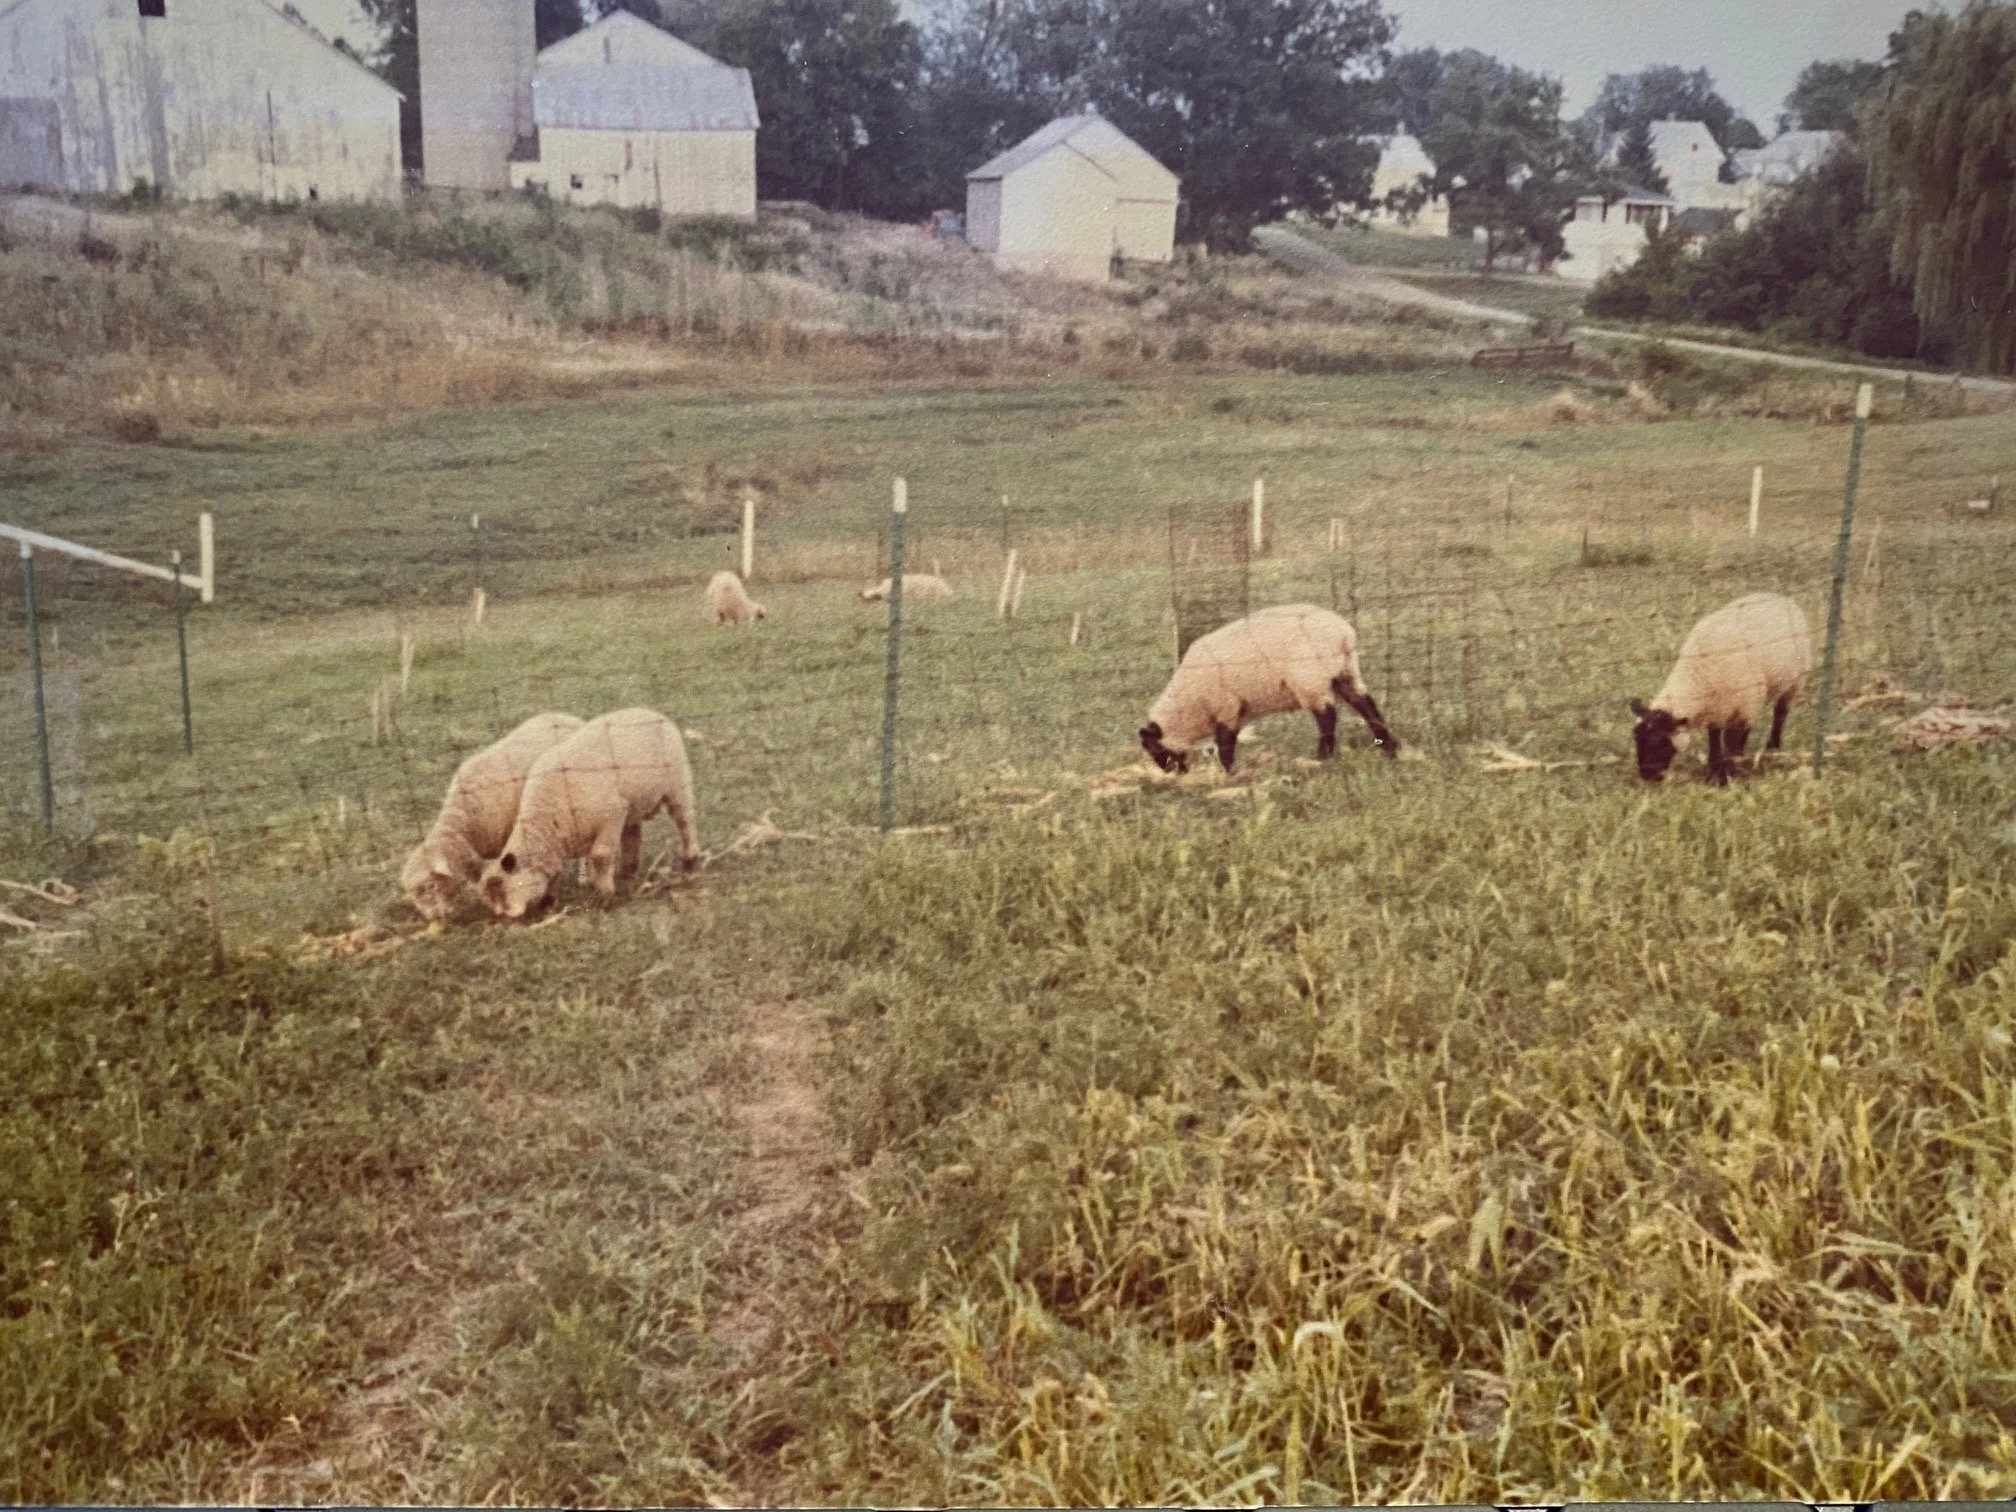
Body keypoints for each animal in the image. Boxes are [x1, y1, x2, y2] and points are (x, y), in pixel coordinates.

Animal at [479, 707, 700, 920]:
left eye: (500, 887)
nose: (503, 919)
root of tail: (650, 711)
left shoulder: (612, 816)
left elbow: (600, 856)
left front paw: (604, 897)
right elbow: (557, 872)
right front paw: (549, 901)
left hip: (677, 785)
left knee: (685, 821)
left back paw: (691, 860)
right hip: (633, 806)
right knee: (632, 835)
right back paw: (628, 873)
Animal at [1138, 603, 1397, 775]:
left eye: (1153, 747)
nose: (1168, 771)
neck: (1187, 704)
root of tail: (1343, 634)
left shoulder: (1226, 707)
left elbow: (1225, 744)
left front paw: (1229, 772)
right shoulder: (1238, 712)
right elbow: (1229, 741)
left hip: (1309, 679)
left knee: (1327, 717)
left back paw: (1322, 757)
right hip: (1345, 672)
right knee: (1366, 704)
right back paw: (1390, 748)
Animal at [1630, 591, 1812, 784]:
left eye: (1660, 741)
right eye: (1636, 737)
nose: (1647, 776)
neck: (1698, 676)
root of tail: (1780, 596)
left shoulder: (1745, 705)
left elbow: (1732, 741)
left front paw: (1729, 773)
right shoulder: (1716, 709)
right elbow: (1715, 738)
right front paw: (1714, 770)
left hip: (1796, 681)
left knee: (1780, 713)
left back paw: (1773, 747)